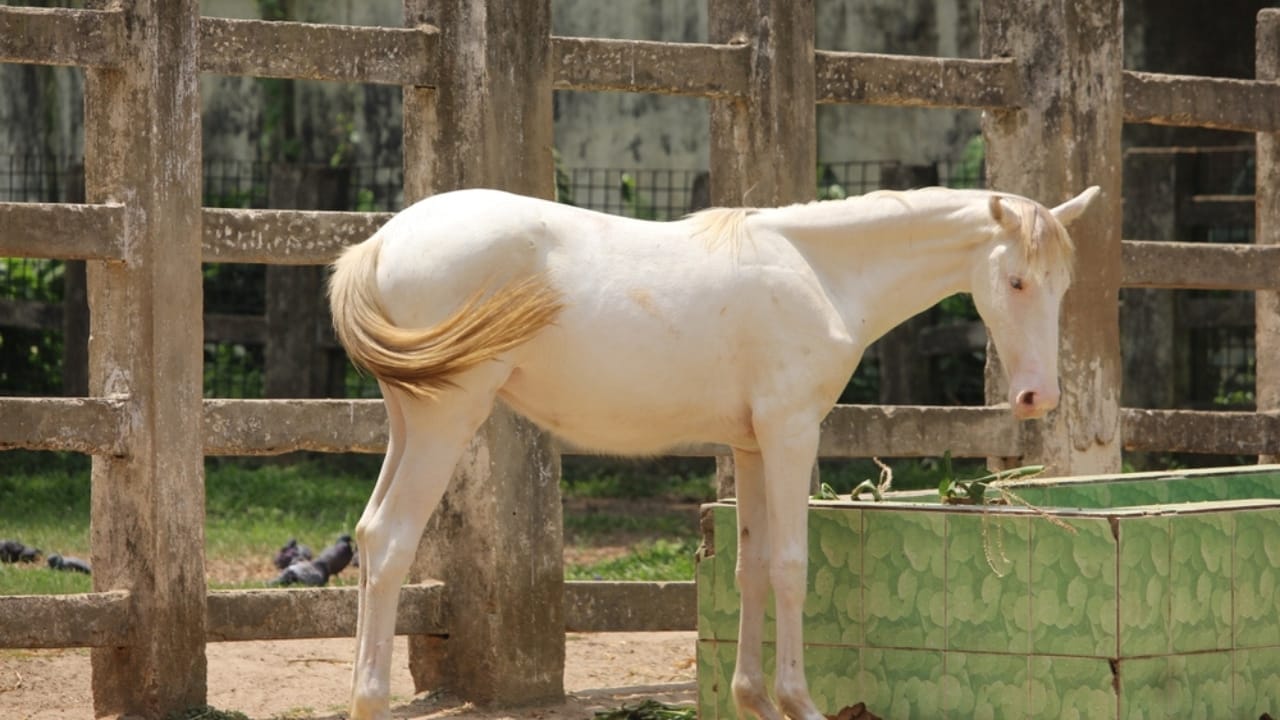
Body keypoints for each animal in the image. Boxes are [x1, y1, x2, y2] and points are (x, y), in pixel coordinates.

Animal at [328, 183, 1100, 720]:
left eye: (1064, 284)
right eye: (1016, 281)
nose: (1038, 397)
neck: (820, 272)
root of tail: (382, 244)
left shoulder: (751, 445)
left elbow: (749, 568)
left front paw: (752, 698)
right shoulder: (792, 433)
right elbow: (790, 566)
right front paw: (798, 702)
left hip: (410, 425)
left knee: (367, 536)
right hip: (446, 421)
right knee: (392, 542)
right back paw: (372, 698)